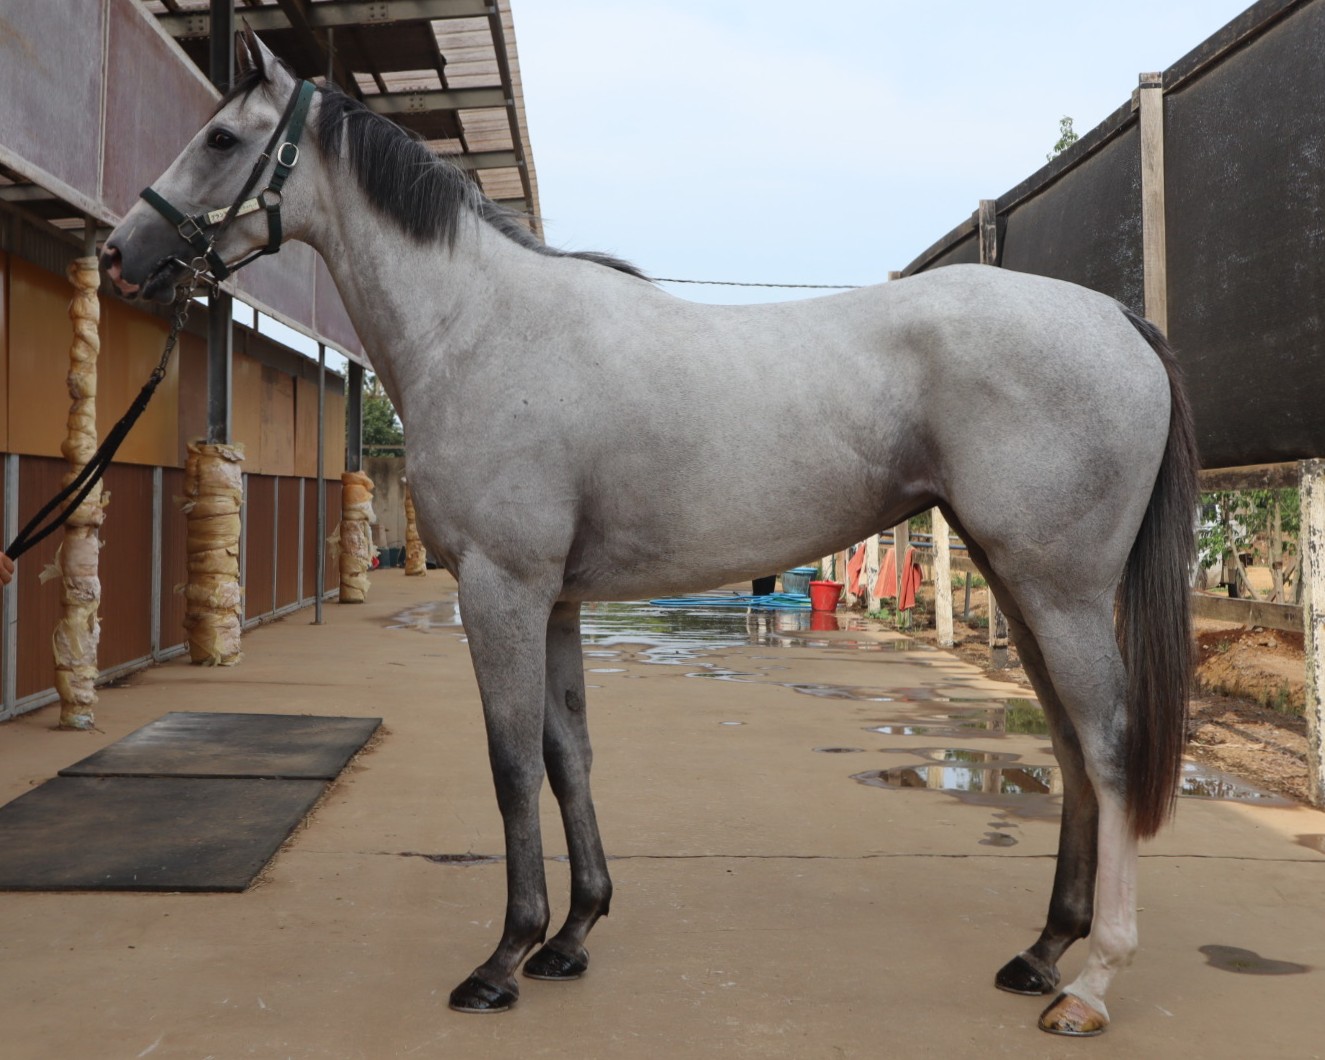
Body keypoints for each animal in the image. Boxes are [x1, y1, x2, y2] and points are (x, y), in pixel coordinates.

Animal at [101, 30, 1198, 1037]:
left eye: (222, 137)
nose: (120, 255)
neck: (480, 328)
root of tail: (1119, 322)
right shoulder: (552, 599)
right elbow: (566, 751)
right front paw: (572, 933)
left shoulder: (500, 586)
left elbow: (509, 761)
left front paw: (502, 958)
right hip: (1017, 581)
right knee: (1067, 742)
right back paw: (1041, 949)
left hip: (1056, 588)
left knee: (1105, 744)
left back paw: (1091, 982)